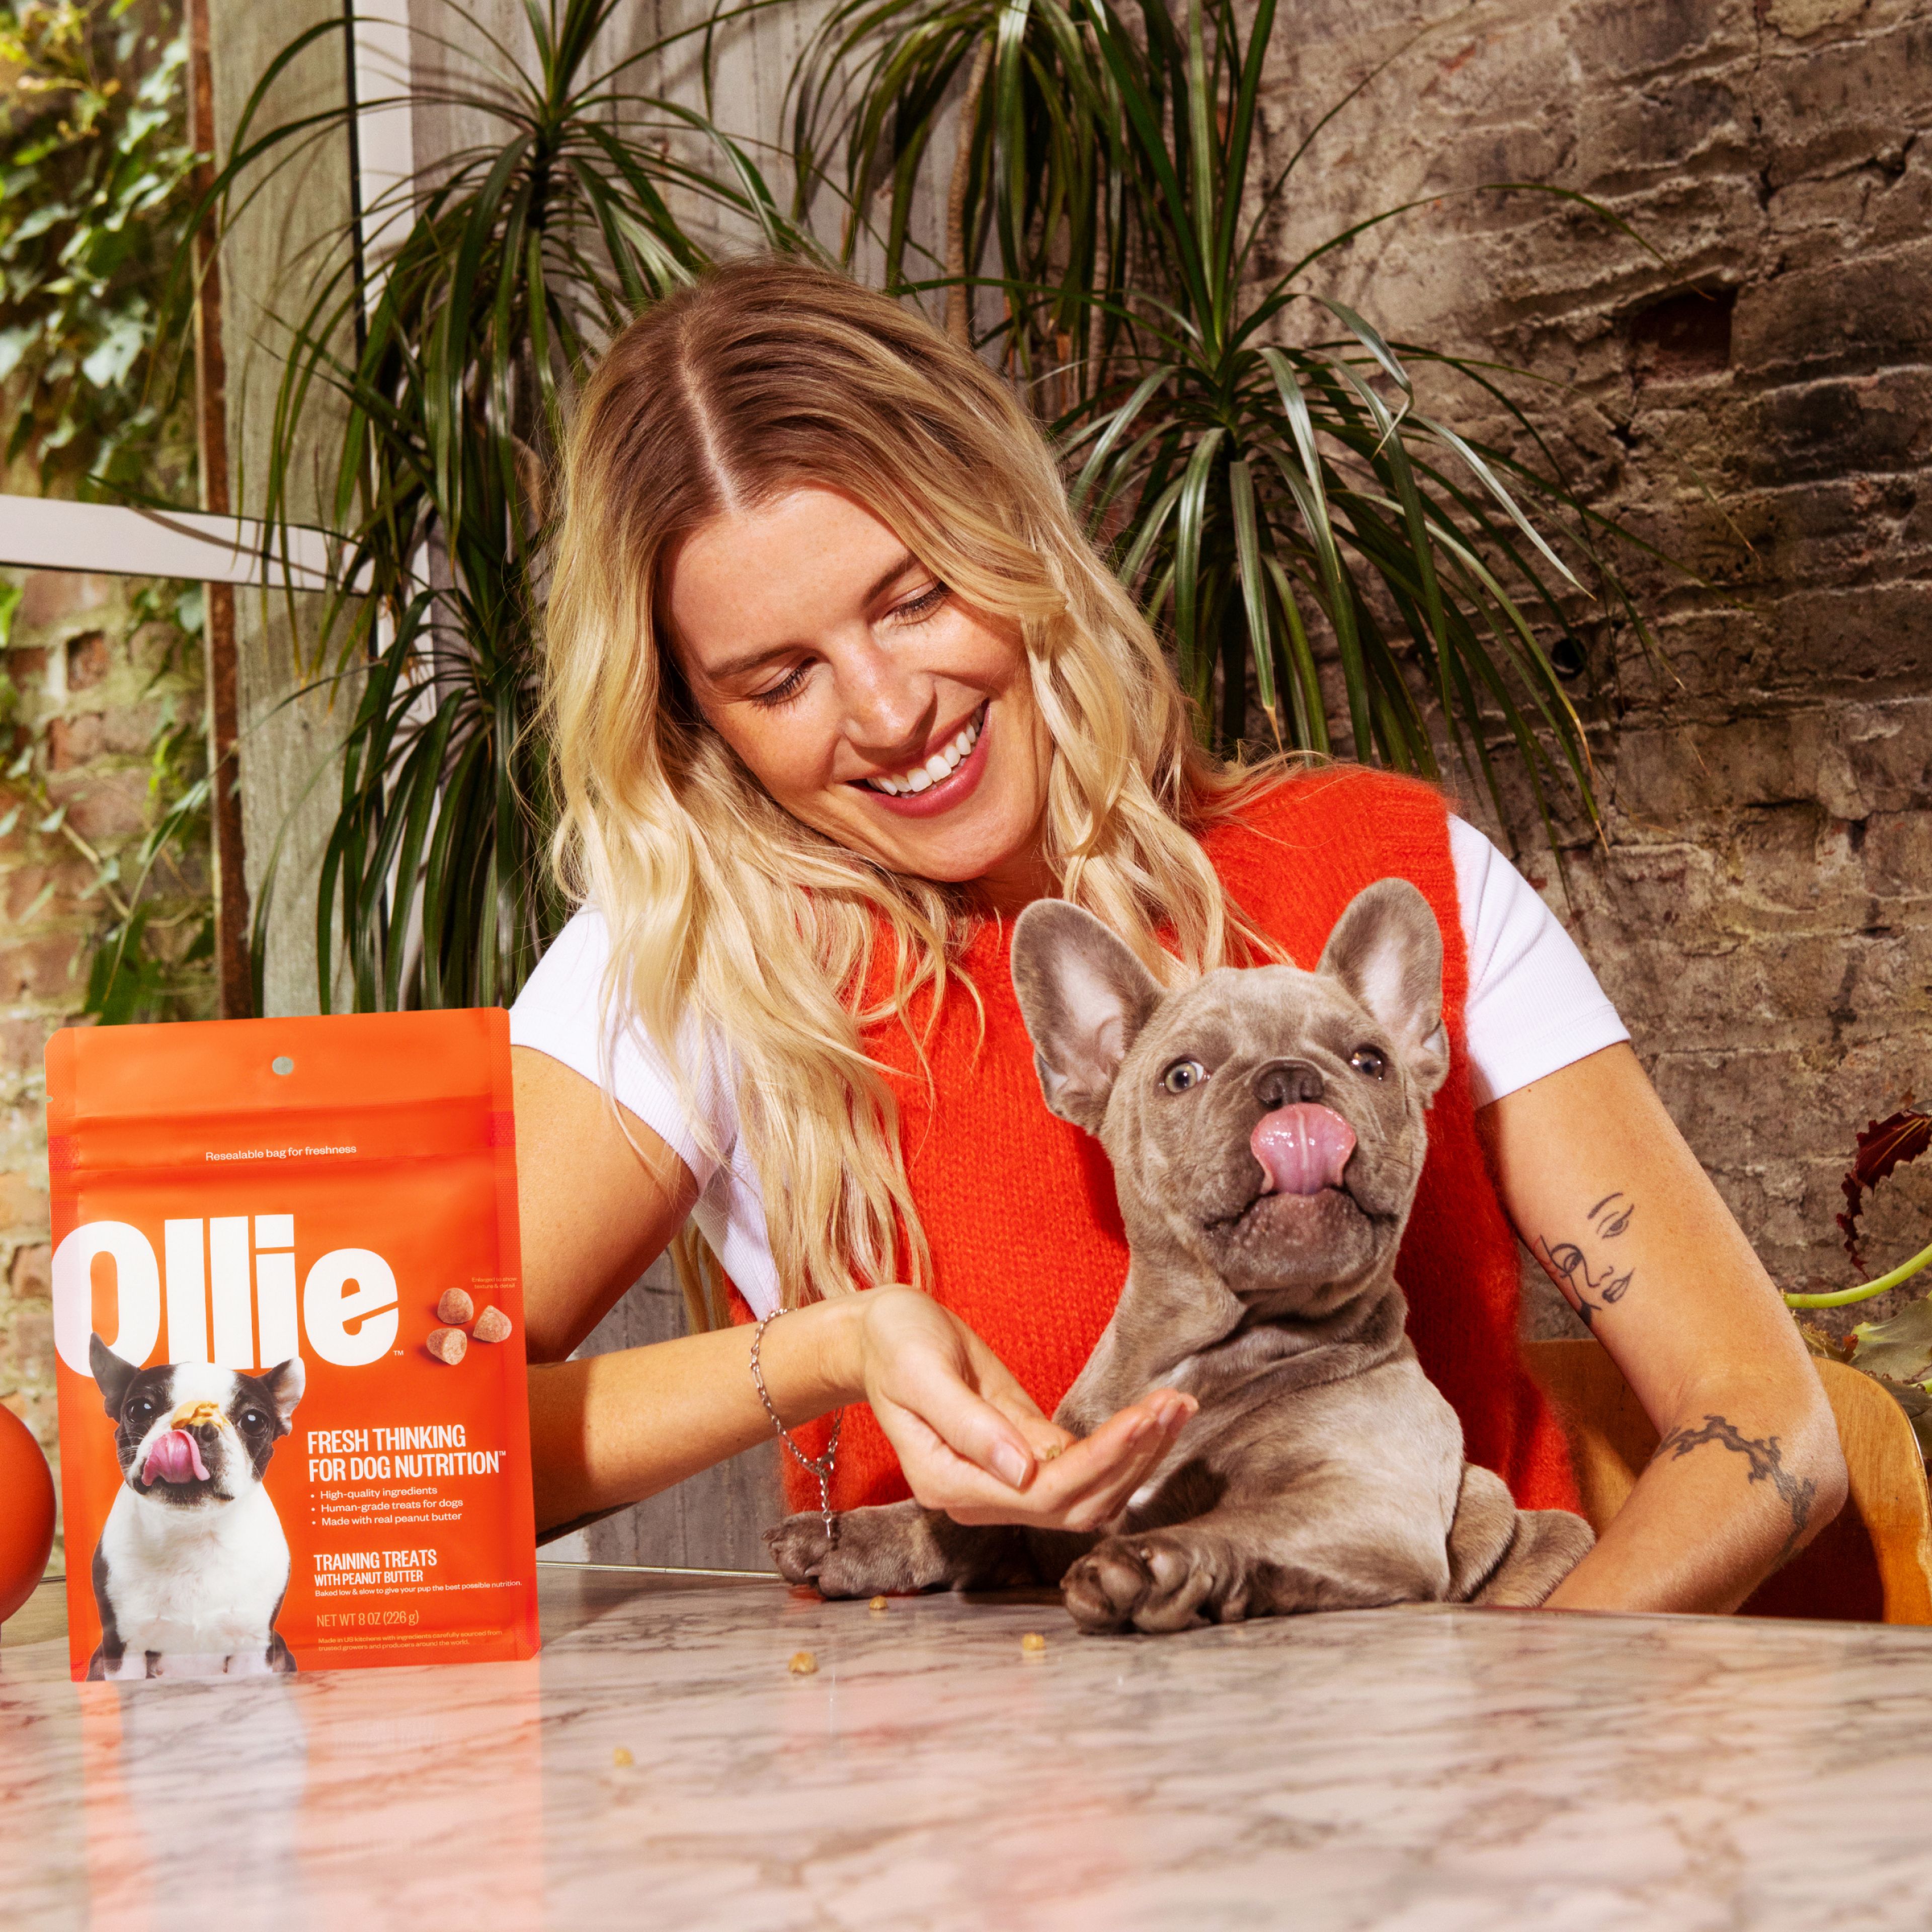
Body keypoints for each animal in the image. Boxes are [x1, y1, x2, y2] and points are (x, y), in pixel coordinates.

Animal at [86, 1329, 303, 1677]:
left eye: (254, 1421)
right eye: (140, 1409)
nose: (194, 1426)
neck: (192, 1532)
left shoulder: (253, 1647)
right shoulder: (121, 1647)